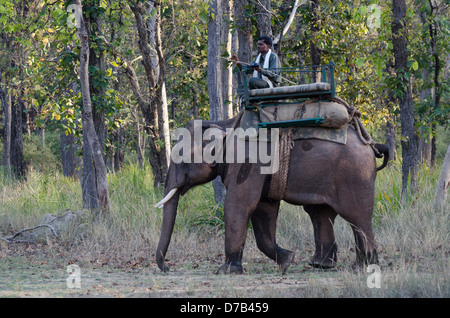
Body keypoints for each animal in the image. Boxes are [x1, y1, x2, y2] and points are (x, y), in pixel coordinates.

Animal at [154, 114, 386, 274]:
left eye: (181, 158)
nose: (167, 268)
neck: (223, 124)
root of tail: (371, 144)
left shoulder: (248, 163)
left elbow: (238, 205)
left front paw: (225, 271)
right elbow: (263, 210)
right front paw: (288, 260)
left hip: (354, 175)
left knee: (356, 216)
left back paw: (363, 267)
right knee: (320, 213)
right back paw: (322, 265)